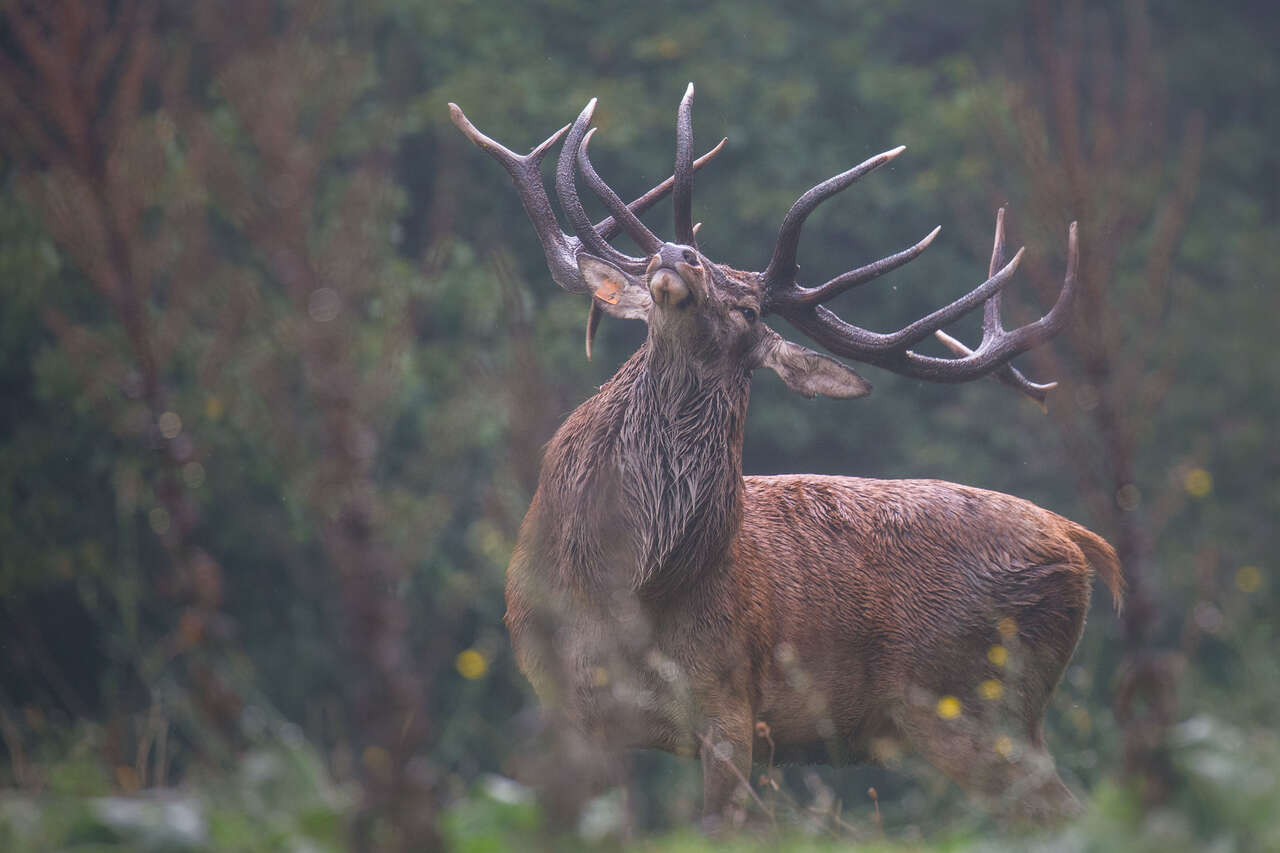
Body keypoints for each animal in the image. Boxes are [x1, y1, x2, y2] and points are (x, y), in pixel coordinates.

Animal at [449, 83, 1123, 829]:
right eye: (675, 264)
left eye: (747, 306)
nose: (677, 253)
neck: (624, 585)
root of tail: (1076, 540)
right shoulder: (570, 706)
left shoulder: (728, 700)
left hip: (975, 705)